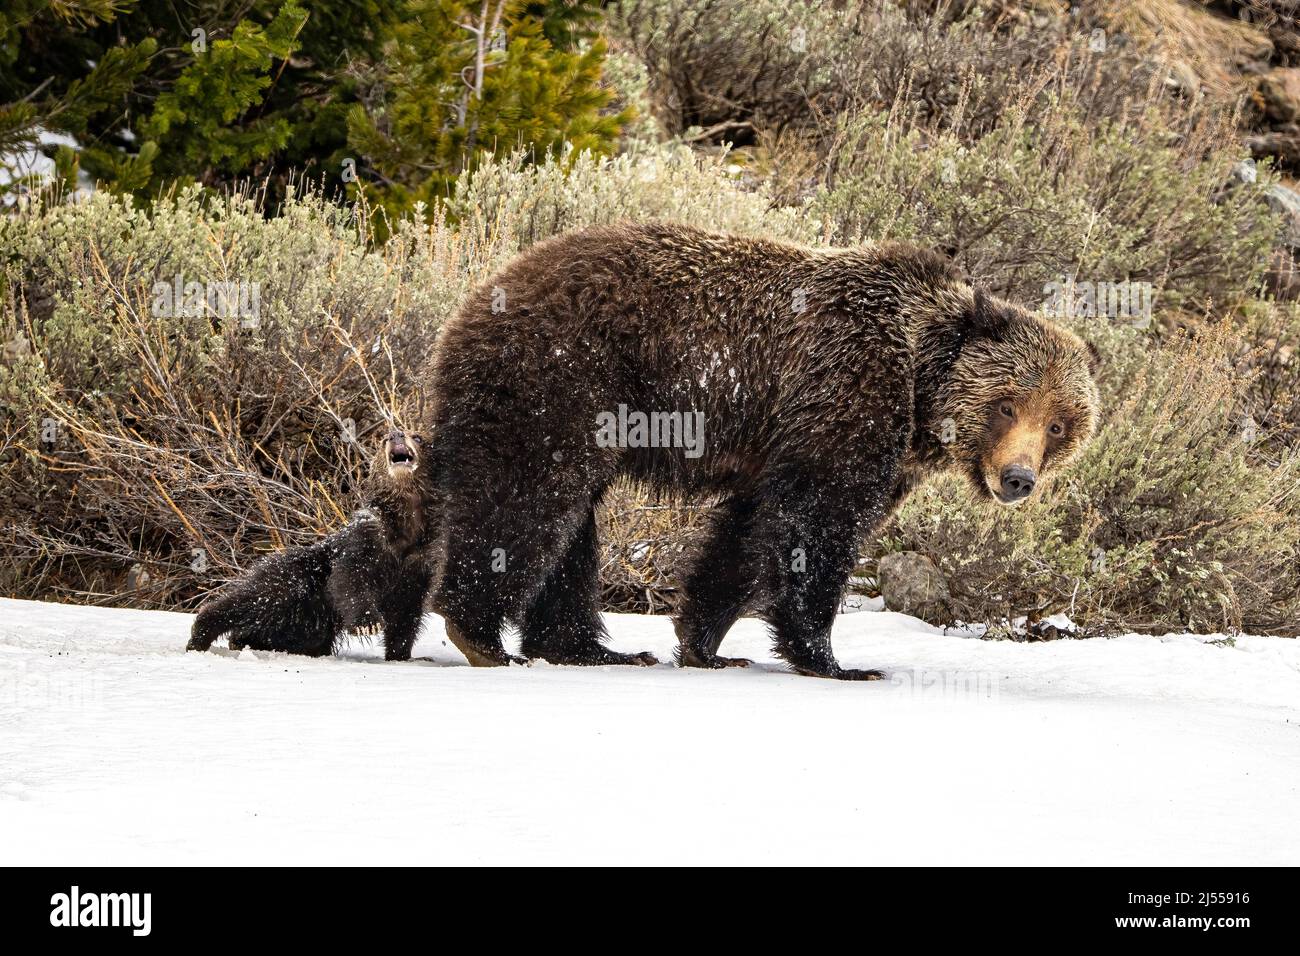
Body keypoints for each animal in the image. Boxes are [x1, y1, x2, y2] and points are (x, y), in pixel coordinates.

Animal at [186, 429, 437, 661]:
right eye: (383, 440)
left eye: (417, 436)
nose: (395, 434)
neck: (405, 523)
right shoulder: (367, 539)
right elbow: (349, 577)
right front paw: (368, 622)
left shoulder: (419, 562)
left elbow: (406, 614)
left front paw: (404, 654)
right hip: (297, 581)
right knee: (251, 599)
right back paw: (201, 635)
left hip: (308, 621)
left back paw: (243, 640)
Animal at [418, 222, 1100, 679]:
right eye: (1008, 404)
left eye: (1060, 423)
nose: (1018, 478)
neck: (916, 389)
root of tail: (471, 304)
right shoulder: (845, 401)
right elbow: (815, 527)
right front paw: (833, 659)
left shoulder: (807, 451)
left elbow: (744, 539)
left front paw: (704, 642)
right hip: (563, 383)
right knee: (528, 499)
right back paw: (481, 635)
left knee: (571, 528)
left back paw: (591, 647)